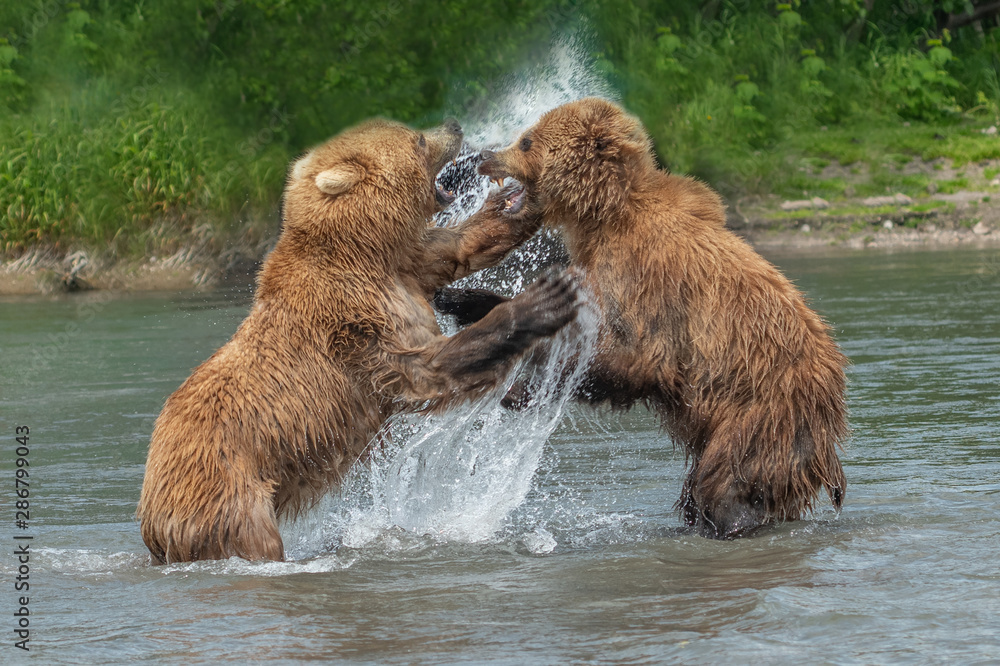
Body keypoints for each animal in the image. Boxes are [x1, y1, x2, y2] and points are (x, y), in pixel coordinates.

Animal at [136, 117, 580, 563]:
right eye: (418, 139)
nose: (453, 125)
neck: (360, 250)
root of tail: (151, 519)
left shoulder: (408, 266)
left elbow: (466, 243)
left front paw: (524, 196)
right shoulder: (357, 320)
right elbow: (424, 369)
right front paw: (542, 302)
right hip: (229, 496)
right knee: (254, 539)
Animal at [436, 97, 849, 539]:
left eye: (527, 140)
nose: (486, 156)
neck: (606, 217)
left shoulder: (645, 281)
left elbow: (632, 356)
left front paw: (520, 391)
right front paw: (460, 299)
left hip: (761, 410)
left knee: (727, 483)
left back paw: (732, 521)